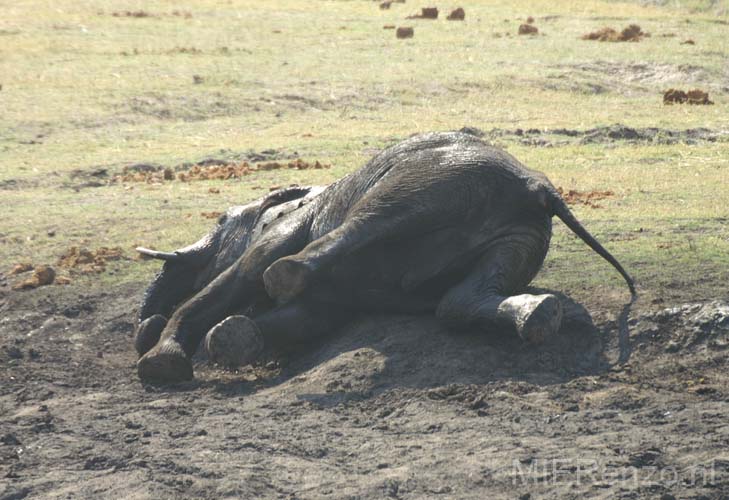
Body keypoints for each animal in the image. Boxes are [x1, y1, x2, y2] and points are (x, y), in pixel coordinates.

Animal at [134, 130, 636, 382]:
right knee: (456, 302)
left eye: (221, 220)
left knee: (370, 219)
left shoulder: (282, 230)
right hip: (523, 236)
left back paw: (286, 274)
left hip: (432, 180)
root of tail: (538, 186)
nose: (144, 326)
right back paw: (539, 316)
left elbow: (242, 276)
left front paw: (161, 362)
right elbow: (307, 319)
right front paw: (232, 338)